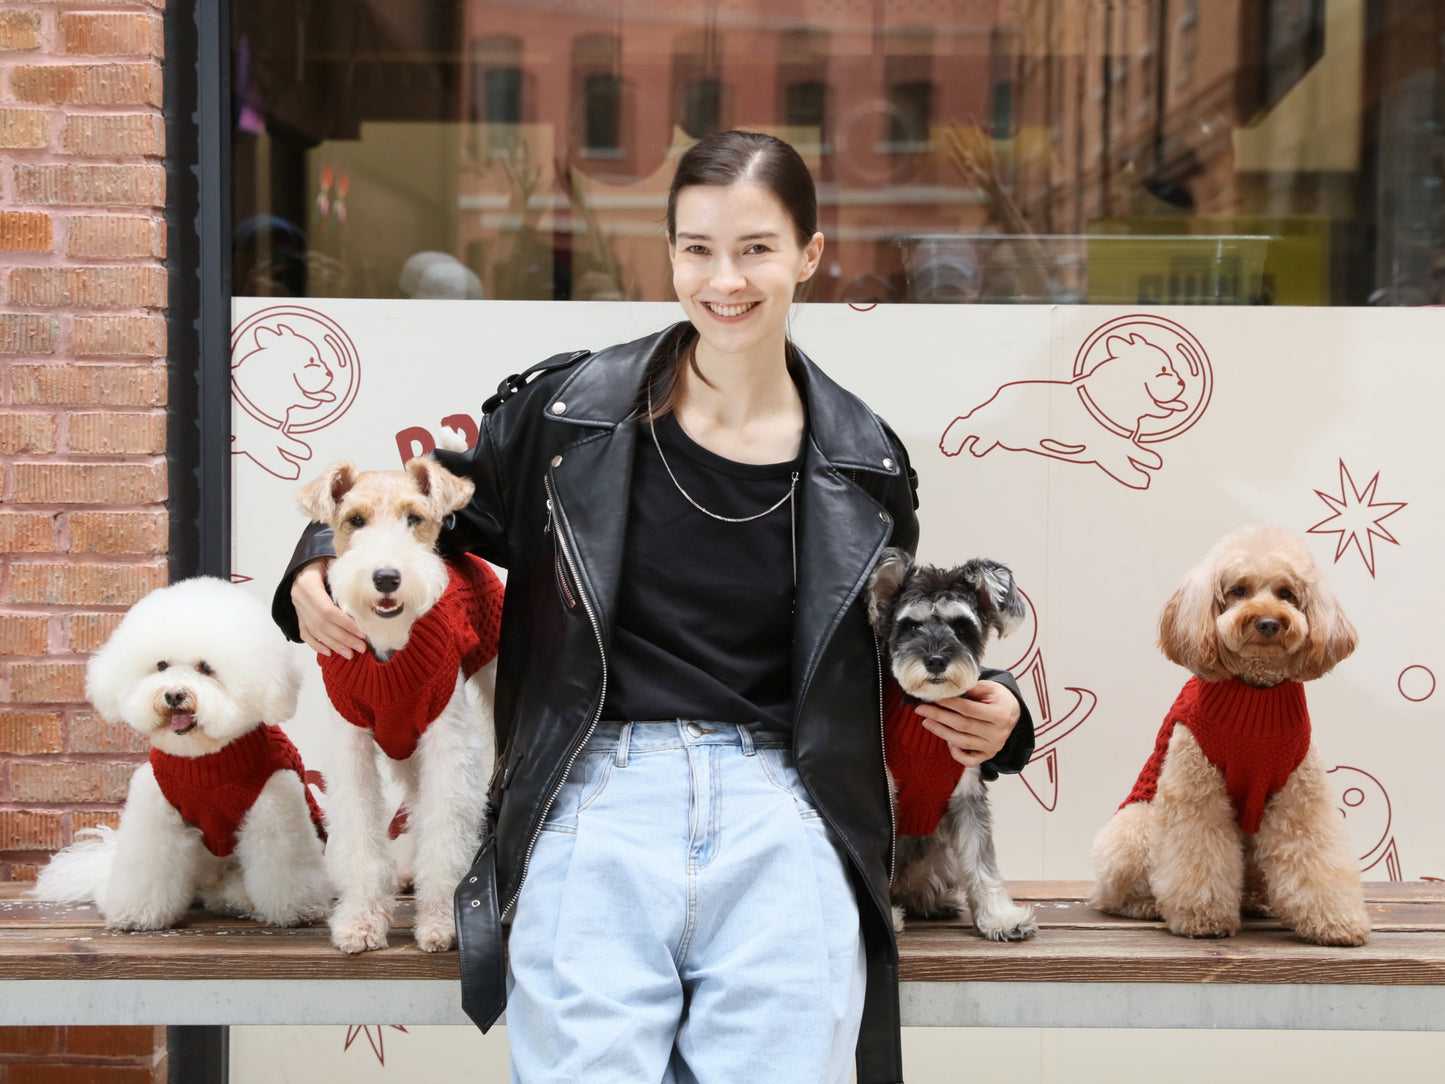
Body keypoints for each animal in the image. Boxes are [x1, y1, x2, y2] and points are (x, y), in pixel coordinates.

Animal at [33, 581, 328, 930]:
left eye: (206, 668)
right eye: (161, 665)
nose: (174, 694)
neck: (205, 760)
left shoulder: (275, 807)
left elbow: (284, 866)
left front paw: (296, 910)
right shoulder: (156, 809)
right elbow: (149, 866)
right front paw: (135, 912)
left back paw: (237, 900)